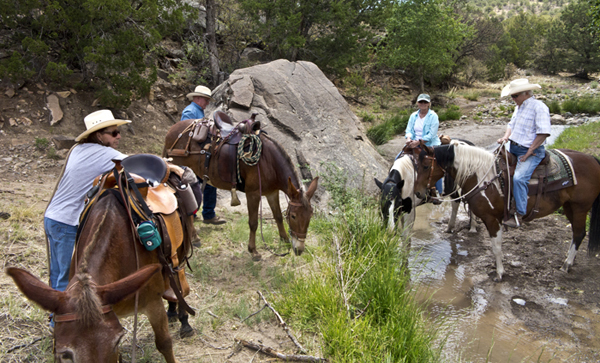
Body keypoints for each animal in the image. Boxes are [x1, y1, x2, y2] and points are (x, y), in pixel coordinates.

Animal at [162, 119, 316, 262]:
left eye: (310, 216)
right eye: (294, 216)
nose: (299, 249)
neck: (268, 161)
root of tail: (173, 129)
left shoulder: (272, 192)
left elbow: (277, 216)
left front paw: (285, 240)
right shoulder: (253, 194)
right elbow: (253, 223)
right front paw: (253, 251)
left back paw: (194, 237)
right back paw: (193, 238)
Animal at [410, 141, 600, 282]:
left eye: (426, 166)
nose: (418, 193)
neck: (481, 177)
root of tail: (592, 158)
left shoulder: (492, 219)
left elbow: (496, 247)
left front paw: (499, 273)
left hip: (580, 207)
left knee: (578, 234)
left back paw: (567, 264)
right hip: (569, 206)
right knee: (578, 233)